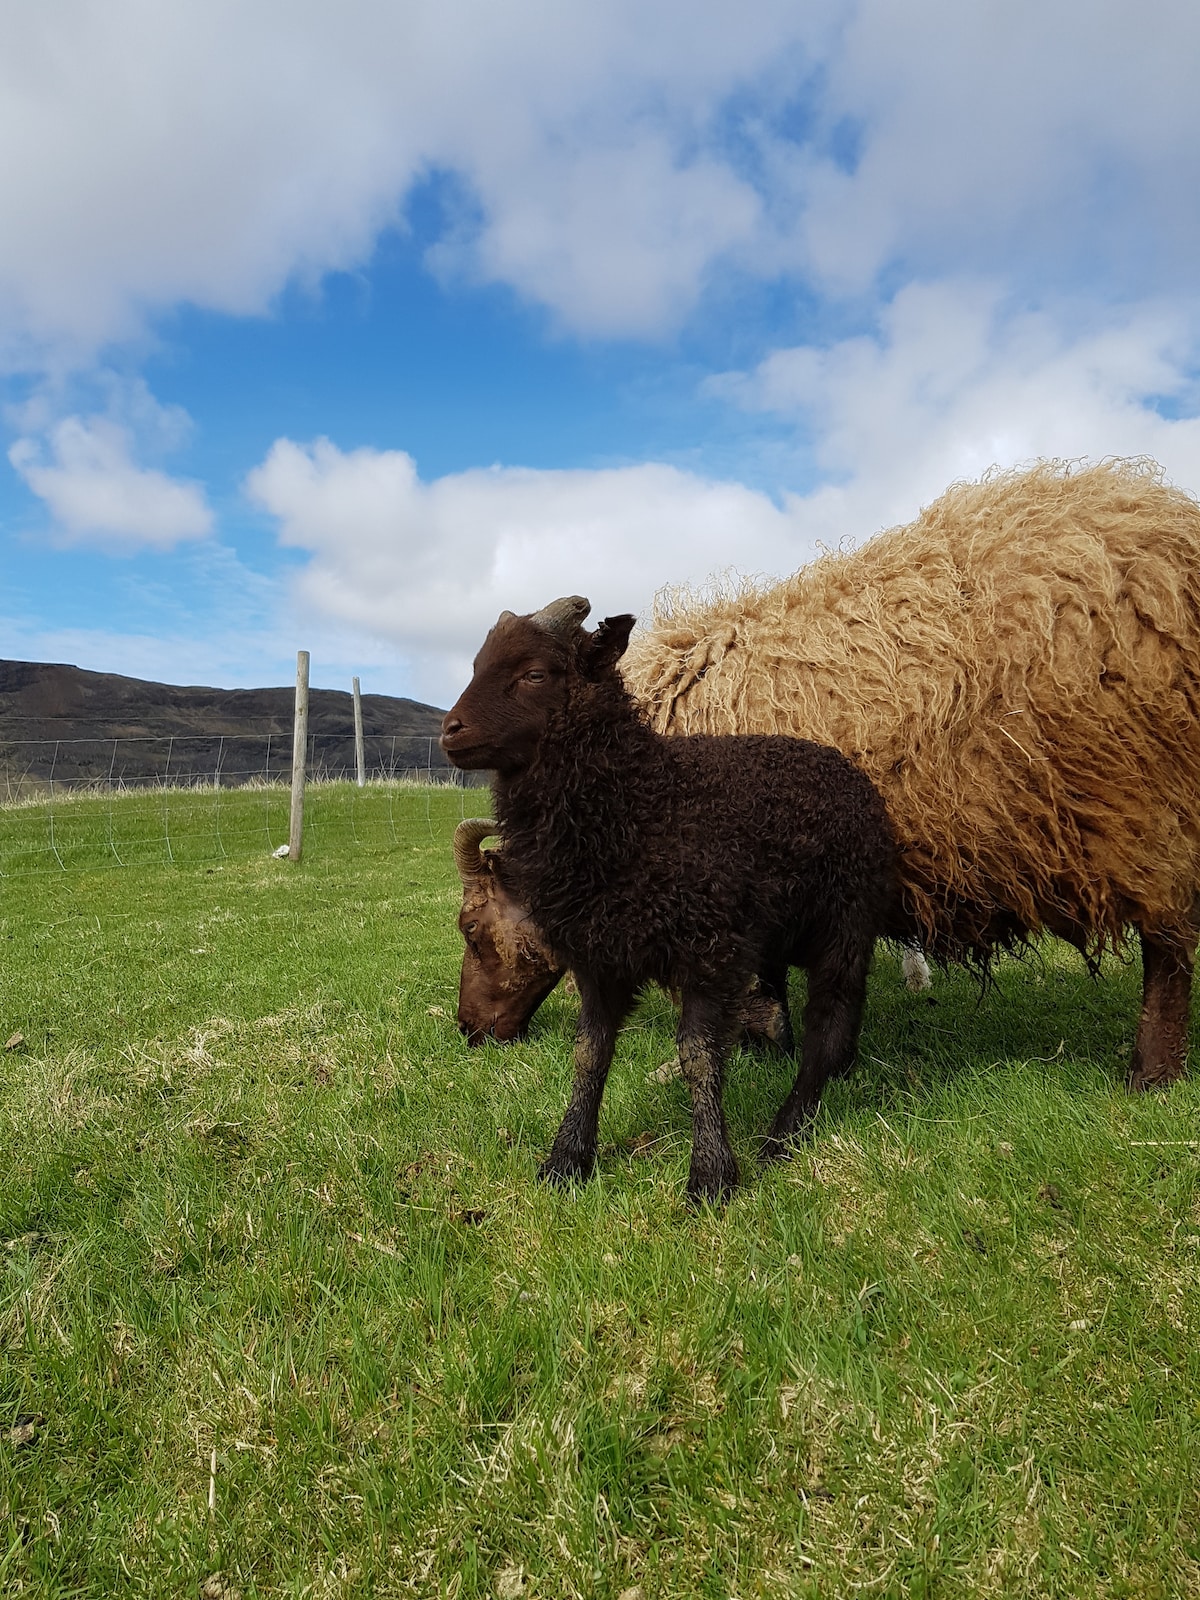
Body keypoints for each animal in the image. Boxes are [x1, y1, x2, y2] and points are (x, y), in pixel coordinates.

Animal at [438, 595, 896, 1196]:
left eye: (534, 674)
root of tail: (847, 769)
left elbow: (699, 1058)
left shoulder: (709, 950)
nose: (449, 730)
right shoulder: (600, 958)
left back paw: (786, 1132)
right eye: (475, 664)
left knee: (830, 1022)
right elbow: (590, 1056)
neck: (641, 801)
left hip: (846, 920)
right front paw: (566, 1161)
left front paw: (711, 1176)